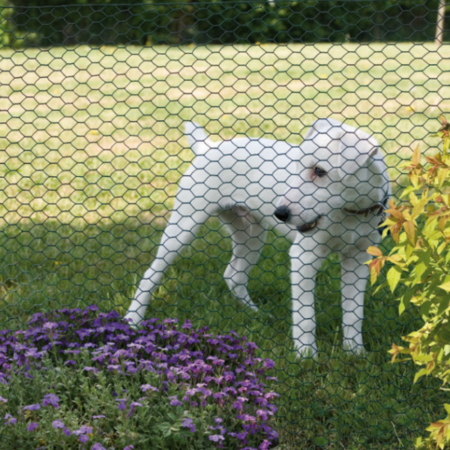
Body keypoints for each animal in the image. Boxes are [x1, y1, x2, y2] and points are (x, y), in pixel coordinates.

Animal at [125, 119, 390, 358]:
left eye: (320, 171)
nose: (280, 213)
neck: (351, 213)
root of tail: (206, 147)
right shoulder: (304, 257)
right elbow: (305, 317)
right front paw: (306, 355)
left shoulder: (358, 261)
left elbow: (353, 313)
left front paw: (355, 352)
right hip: (183, 226)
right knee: (150, 275)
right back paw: (132, 320)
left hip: (250, 236)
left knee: (234, 275)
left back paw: (256, 314)